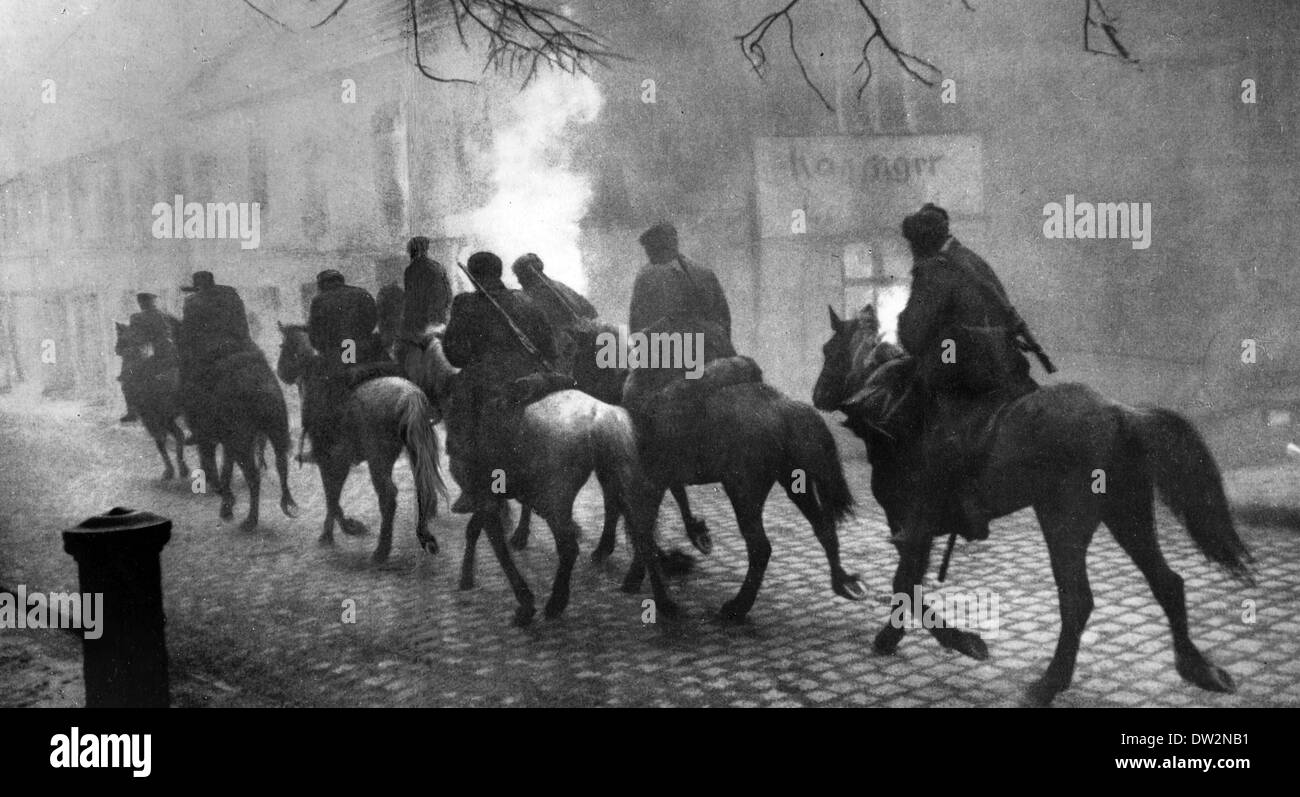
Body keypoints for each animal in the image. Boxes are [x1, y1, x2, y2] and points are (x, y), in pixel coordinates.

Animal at [276, 321, 444, 559]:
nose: (281, 372)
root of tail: (409, 396)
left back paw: (381, 551)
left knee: (388, 496)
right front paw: (344, 527)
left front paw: (340, 529)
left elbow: (331, 494)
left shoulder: (328, 459)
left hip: (378, 459)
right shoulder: (341, 460)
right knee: (421, 484)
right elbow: (334, 493)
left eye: (283, 346)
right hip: (411, 450)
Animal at [816, 308, 1253, 707]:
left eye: (828, 350)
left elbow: (905, 584)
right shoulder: (915, 529)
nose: (818, 395)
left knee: (1078, 601)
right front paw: (933, 637)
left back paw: (1049, 684)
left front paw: (955, 640)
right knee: (1167, 583)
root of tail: (1121, 414)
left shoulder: (911, 523)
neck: (896, 410)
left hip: (1063, 523)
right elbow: (911, 585)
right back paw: (1199, 668)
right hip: (1128, 516)